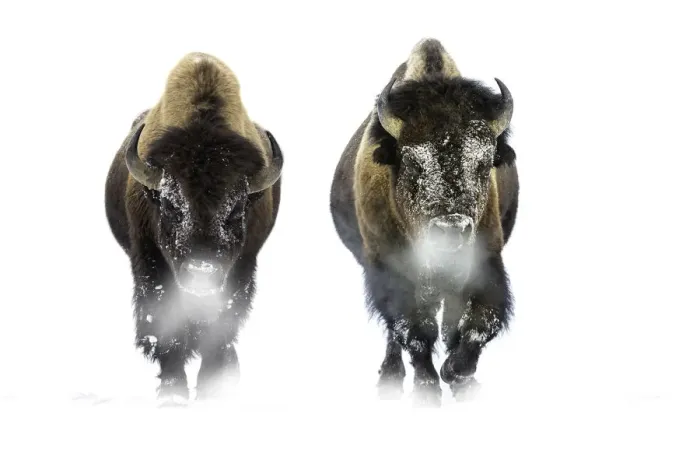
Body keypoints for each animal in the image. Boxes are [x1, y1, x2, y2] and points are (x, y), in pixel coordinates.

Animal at [105, 52, 283, 402]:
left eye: (237, 210)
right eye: (170, 207)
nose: (201, 278)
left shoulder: (242, 268)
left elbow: (221, 327)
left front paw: (211, 389)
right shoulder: (150, 264)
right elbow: (165, 326)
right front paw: (172, 393)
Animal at [330, 38, 518, 406]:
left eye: (484, 163)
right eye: (414, 163)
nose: (452, 231)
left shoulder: (487, 261)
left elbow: (479, 325)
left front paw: (457, 374)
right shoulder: (390, 271)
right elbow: (414, 331)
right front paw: (427, 390)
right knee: (398, 333)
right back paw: (390, 378)